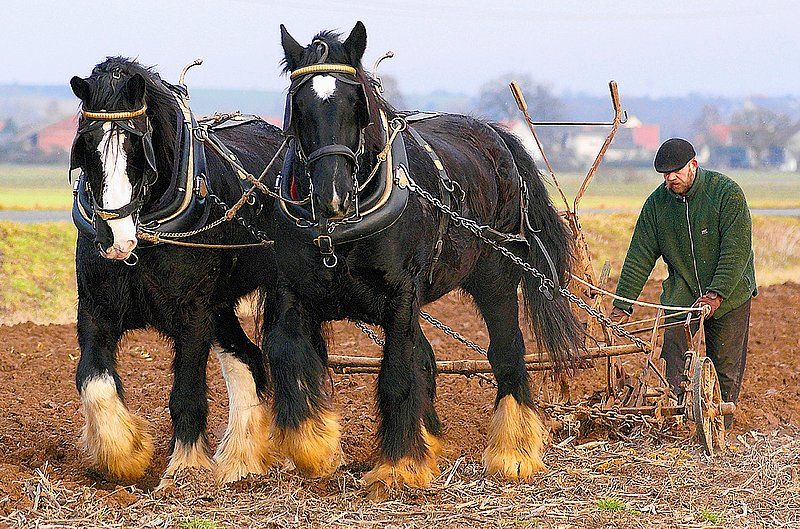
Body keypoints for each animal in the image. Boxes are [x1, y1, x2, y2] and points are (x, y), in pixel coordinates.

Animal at [69, 56, 284, 482]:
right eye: (87, 145)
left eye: (137, 144)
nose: (114, 238)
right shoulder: (96, 311)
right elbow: (94, 382)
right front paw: (126, 452)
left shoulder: (194, 314)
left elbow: (186, 392)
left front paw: (185, 468)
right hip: (221, 306)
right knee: (247, 360)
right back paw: (240, 460)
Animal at [268, 20, 580, 490]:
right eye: (299, 104)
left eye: (355, 101)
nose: (332, 196)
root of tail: (497, 137)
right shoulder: (292, 294)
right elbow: (287, 358)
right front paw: (316, 448)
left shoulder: (400, 297)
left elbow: (397, 376)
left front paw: (398, 465)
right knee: (429, 358)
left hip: (496, 278)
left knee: (506, 353)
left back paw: (514, 452)